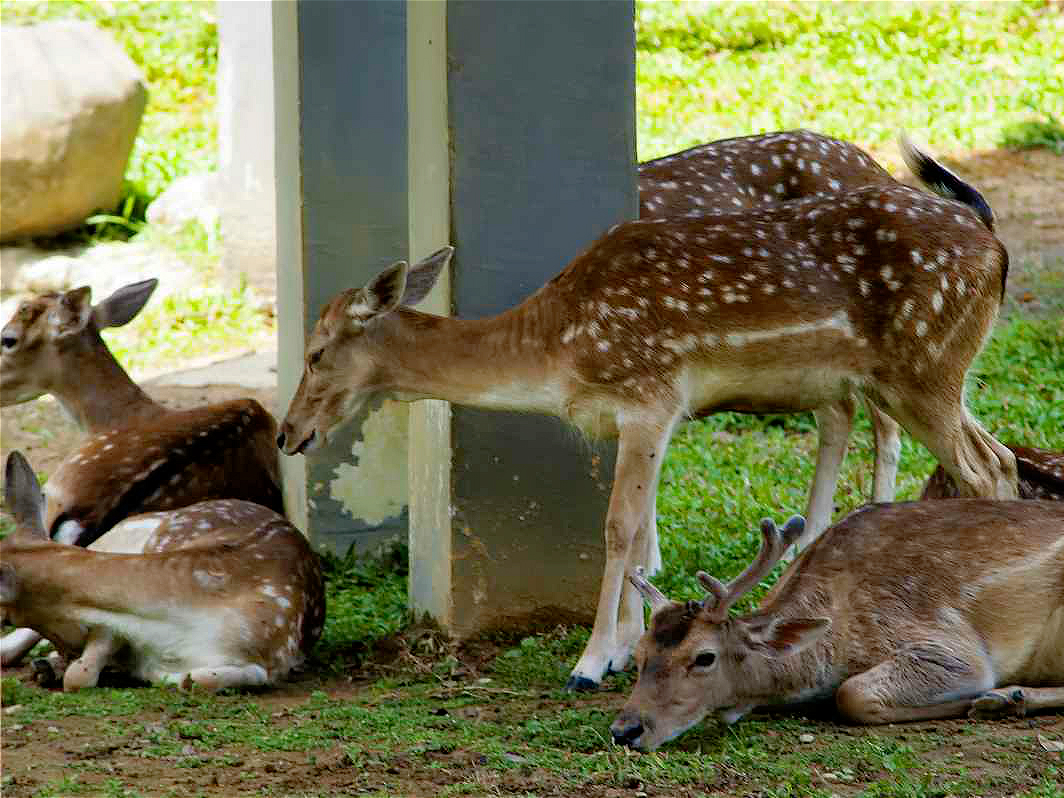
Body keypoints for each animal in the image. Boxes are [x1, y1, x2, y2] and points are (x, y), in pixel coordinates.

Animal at [0, 455, 323, 693]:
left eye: (5, 617)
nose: (67, 649)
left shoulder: (268, 660)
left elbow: (196, 680)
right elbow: (82, 671)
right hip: (117, 539)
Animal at [278, 137, 1017, 689]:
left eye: (315, 353)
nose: (289, 434)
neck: (556, 348)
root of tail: (992, 239)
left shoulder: (650, 395)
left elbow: (617, 528)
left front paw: (590, 661)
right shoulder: (635, 418)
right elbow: (638, 534)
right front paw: (626, 646)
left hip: (923, 365)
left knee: (980, 469)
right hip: (906, 376)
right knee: (997, 458)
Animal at [612, 502, 1064, 753]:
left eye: (704, 657)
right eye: (638, 655)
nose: (625, 730)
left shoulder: (949, 648)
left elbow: (852, 694)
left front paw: (983, 697)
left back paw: (1005, 698)